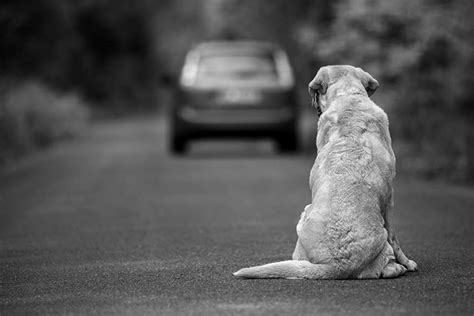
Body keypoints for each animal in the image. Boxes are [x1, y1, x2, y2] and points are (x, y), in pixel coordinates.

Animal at [235, 65, 416, 278]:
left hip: (304, 215)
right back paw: (396, 267)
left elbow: (395, 238)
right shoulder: (389, 200)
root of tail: (337, 266)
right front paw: (407, 263)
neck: (348, 96)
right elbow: (395, 238)